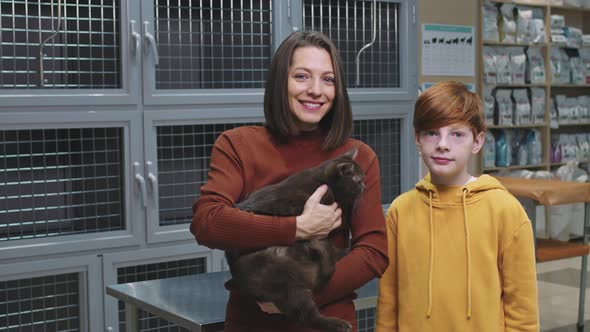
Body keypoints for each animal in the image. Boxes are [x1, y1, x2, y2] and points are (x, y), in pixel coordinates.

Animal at [227, 149, 366, 332]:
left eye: (363, 179)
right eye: (358, 180)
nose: (364, 186)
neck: (321, 180)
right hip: (291, 286)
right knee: (307, 316)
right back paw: (339, 324)